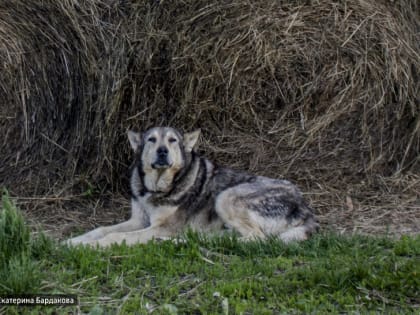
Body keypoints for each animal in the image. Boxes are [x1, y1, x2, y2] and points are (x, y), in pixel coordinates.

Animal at [68, 126, 318, 247]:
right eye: (151, 140)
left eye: (172, 140)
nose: (162, 151)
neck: (157, 188)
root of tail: (306, 207)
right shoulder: (138, 220)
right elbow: (102, 229)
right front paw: (74, 241)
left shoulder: (160, 227)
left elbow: (114, 237)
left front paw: (92, 246)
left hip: (226, 197)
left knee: (255, 240)